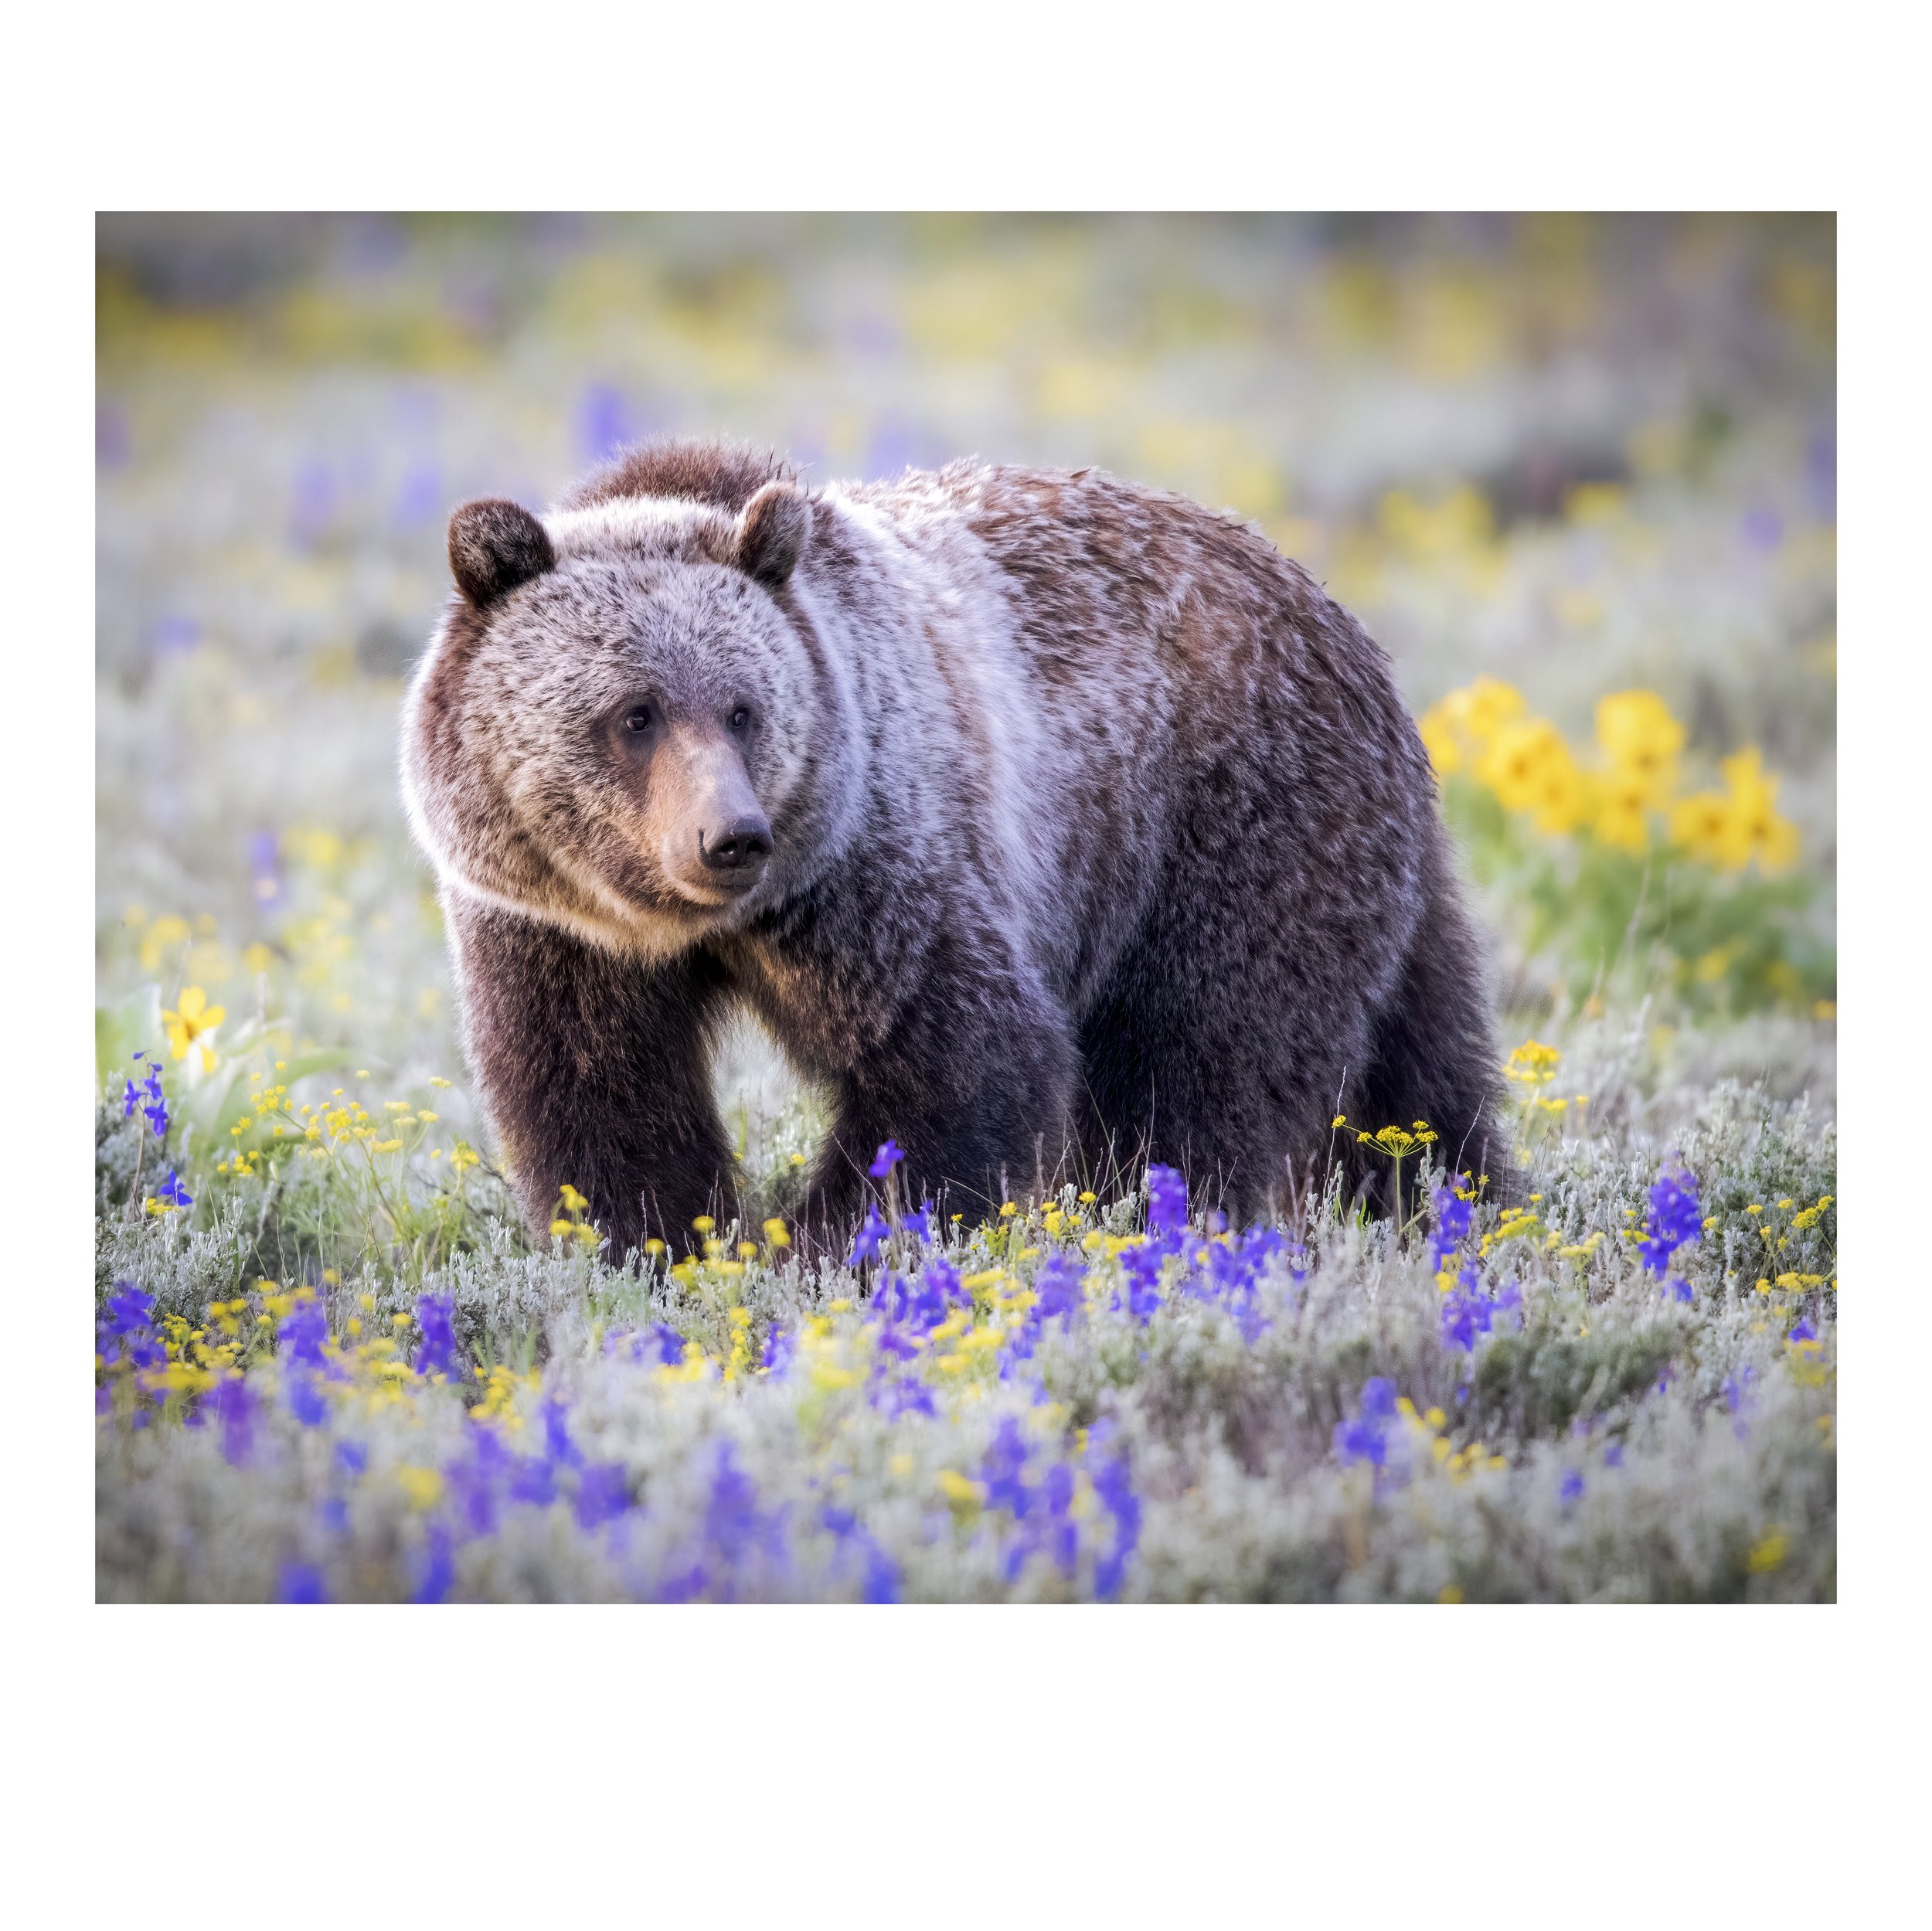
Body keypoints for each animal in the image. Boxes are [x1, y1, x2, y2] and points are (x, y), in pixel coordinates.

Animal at [401, 437, 1504, 1256]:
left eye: (744, 709)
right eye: (635, 714)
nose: (730, 838)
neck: (698, 925)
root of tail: (1342, 622)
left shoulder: (872, 861)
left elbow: (957, 1057)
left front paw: (826, 1250)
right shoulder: (551, 924)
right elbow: (597, 1095)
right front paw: (663, 1248)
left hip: (1230, 825)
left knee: (1197, 1063)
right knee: (1422, 1068)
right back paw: (1454, 1207)